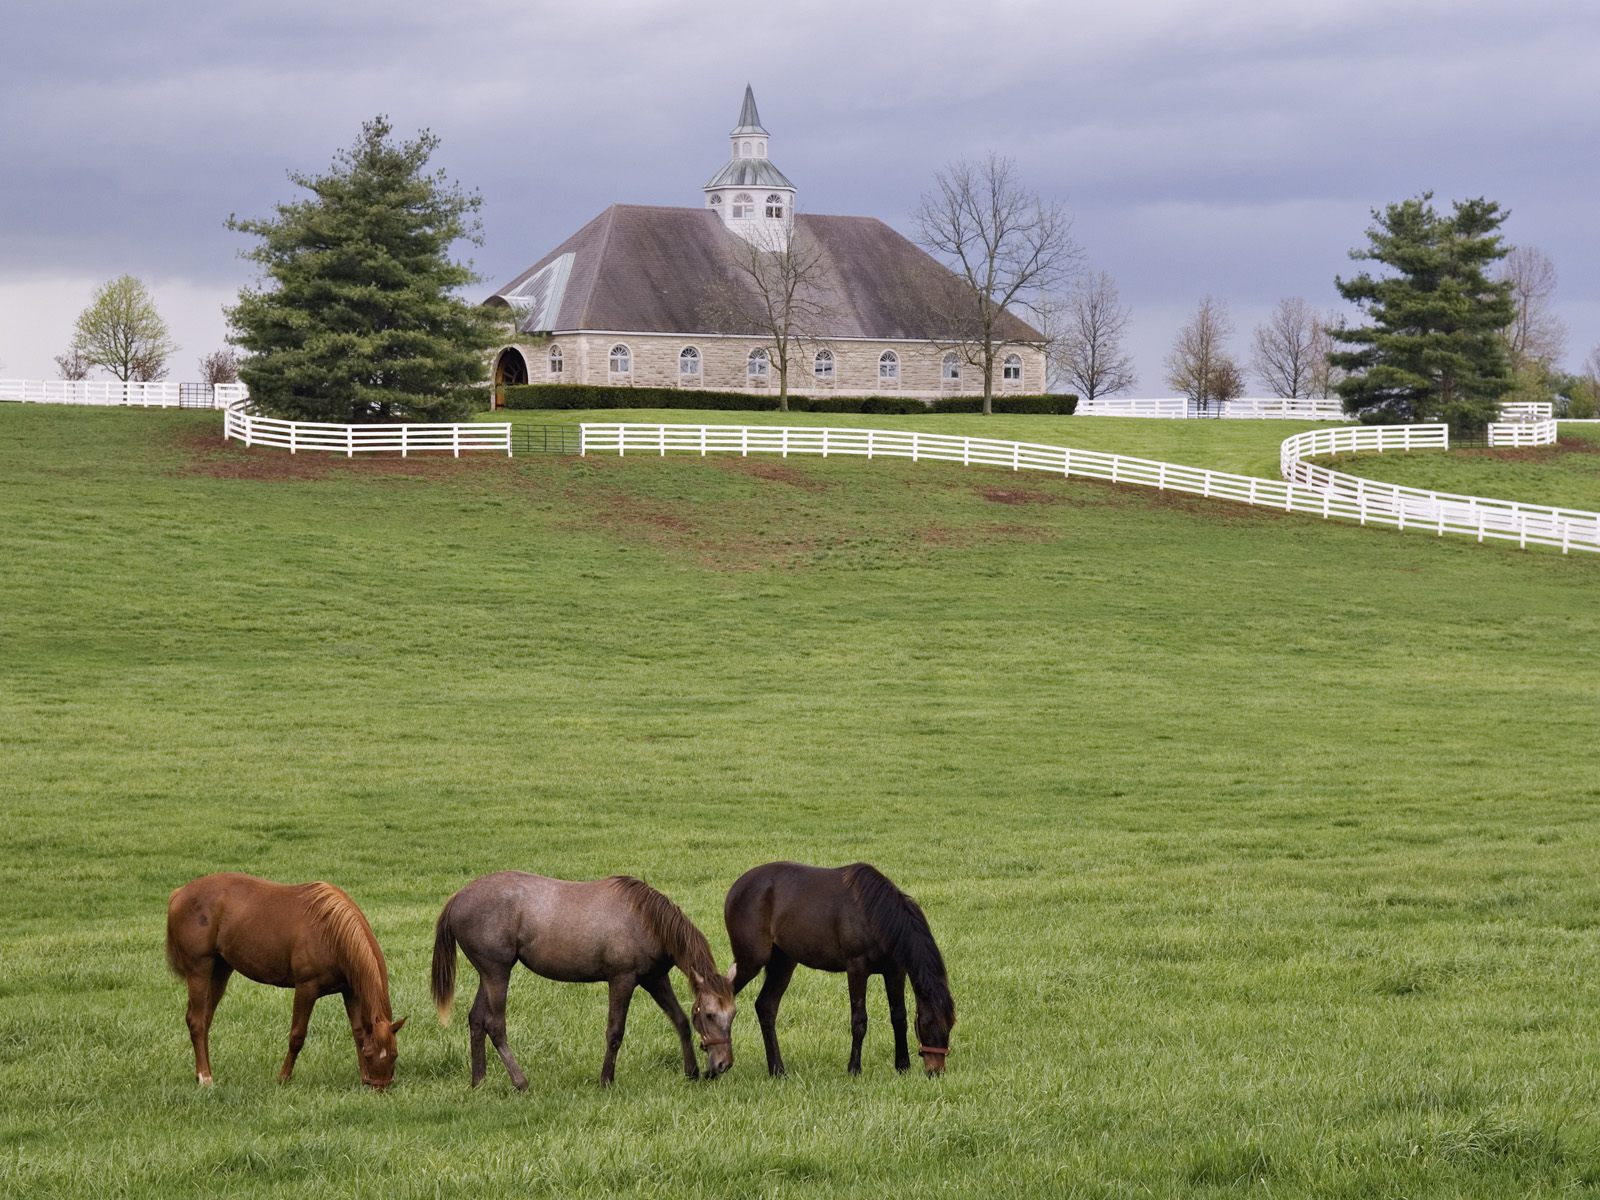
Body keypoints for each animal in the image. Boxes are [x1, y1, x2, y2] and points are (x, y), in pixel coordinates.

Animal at [164, 876, 406, 1088]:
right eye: (370, 1054)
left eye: (394, 1054)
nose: (379, 1087)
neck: (330, 932)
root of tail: (179, 893)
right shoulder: (306, 988)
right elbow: (297, 1035)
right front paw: (283, 1077)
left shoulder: (350, 991)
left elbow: (358, 1032)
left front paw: (362, 1075)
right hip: (199, 970)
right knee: (196, 1021)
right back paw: (205, 1078)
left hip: (220, 971)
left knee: (205, 1020)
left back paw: (202, 1073)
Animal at [435, 876, 739, 1088]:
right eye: (710, 1014)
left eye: (733, 1014)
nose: (723, 1064)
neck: (645, 920)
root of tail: (457, 898)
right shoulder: (622, 980)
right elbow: (615, 1033)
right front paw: (606, 1080)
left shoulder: (655, 979)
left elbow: (680, 1020)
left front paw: (691, 1072)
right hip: (497, 973)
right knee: (495, 1025)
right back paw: (520, 1082)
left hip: (487, 975)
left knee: (477, 1020)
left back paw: (479, 1081)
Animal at [723, 864, 947, 1081]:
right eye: (926, 1024)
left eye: (949, 1024)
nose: (936, 1071)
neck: (876, 915)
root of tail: (737, 888)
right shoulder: (857, 968)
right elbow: (859, 1020)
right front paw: (854, 1069)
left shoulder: (895, 970)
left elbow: (899, 1017)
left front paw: (902, 1067)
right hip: (751, 961)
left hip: (783, 963)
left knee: (765, 1007)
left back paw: (777, 1070)